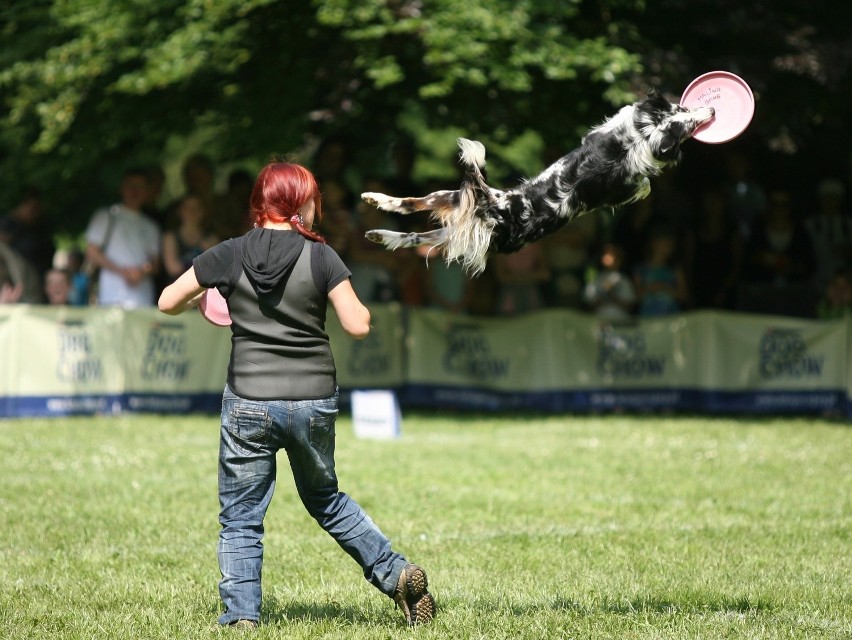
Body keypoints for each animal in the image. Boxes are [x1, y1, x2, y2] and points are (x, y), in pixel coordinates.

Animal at [362, 88, 716, 276]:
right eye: (687, 118)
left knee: (412, 220)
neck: (637, 140)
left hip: (453, 211)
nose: (712, 109)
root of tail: (490, 204)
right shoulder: (626, 182)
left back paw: (378, 218)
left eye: (685, 109)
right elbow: (645, 183)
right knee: (417, 226)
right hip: (472, 230)